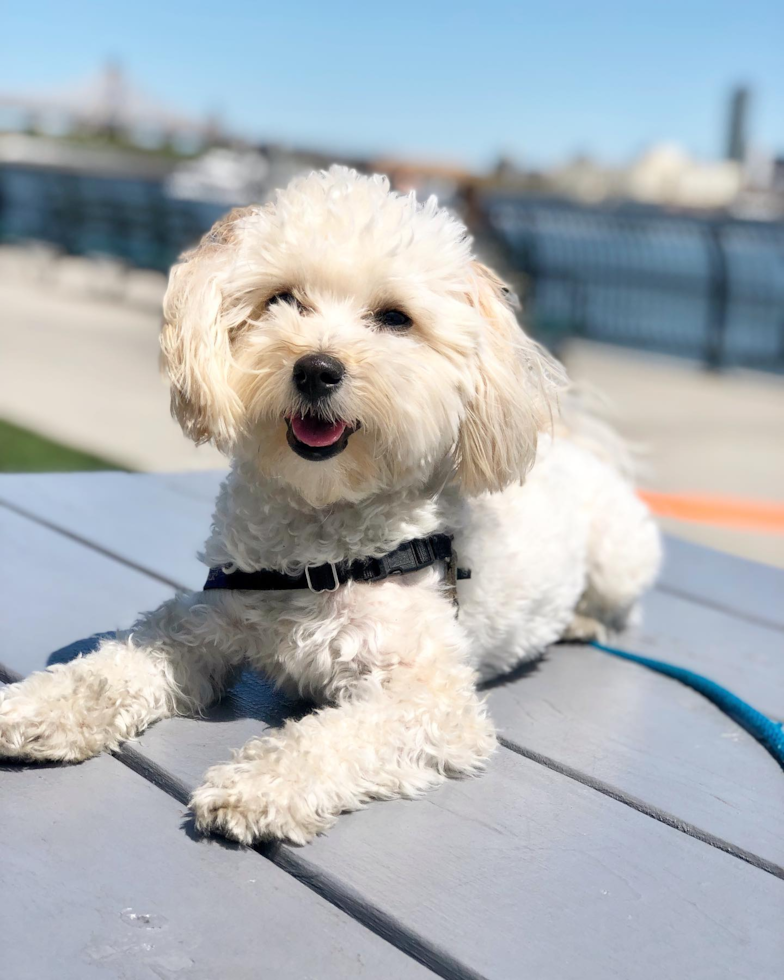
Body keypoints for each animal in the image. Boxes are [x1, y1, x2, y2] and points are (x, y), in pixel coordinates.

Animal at [0, 168, 660, 844]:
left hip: (619, 559)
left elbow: (337, 736)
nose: (316, 368)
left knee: (620, 606)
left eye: (395, 318)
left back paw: (583, 622)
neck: (320, 546)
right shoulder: (204, 620)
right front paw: (42, 705)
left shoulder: (430, 699)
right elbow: (111, 668)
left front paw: (263, 784)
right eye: (282, 299)